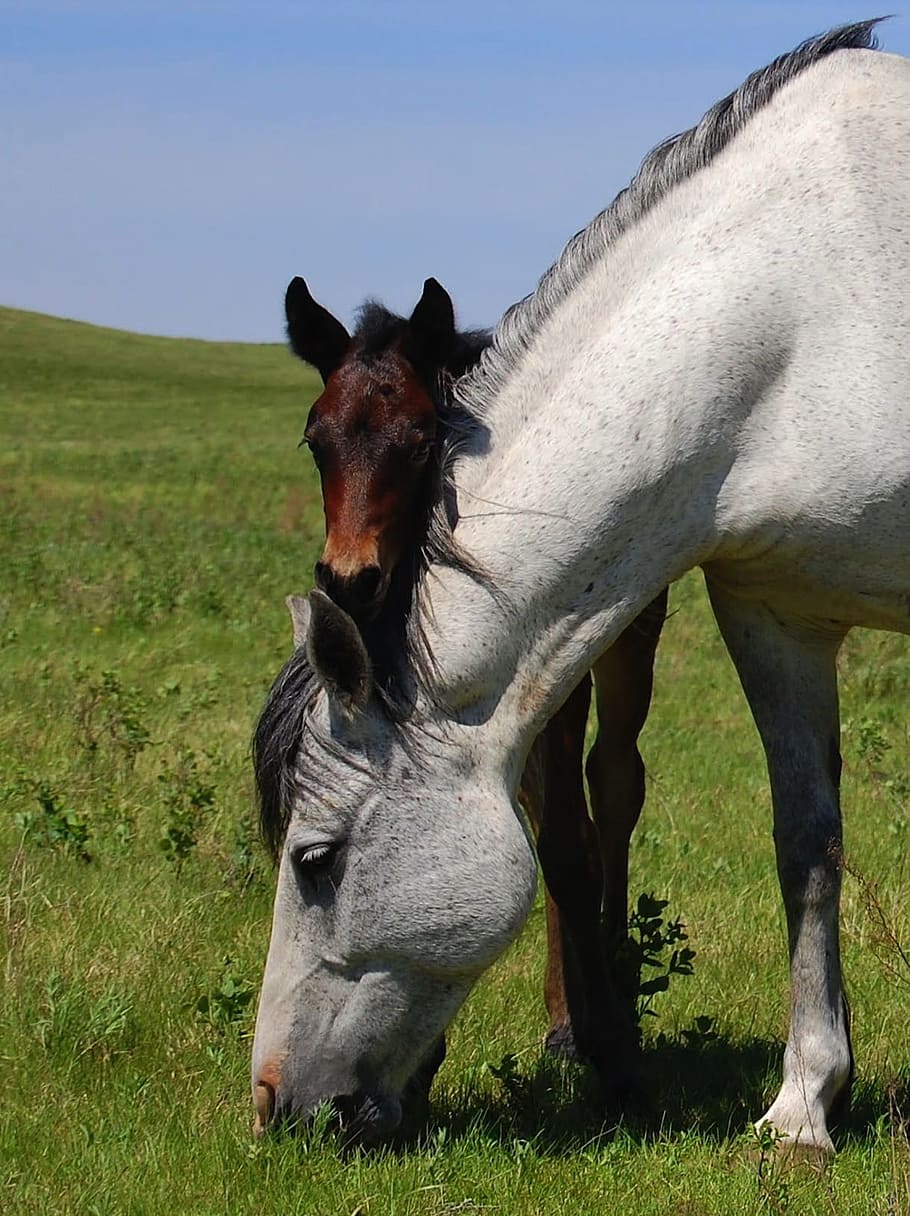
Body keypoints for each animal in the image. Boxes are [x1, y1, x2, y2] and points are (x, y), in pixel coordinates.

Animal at [279, 273, 667, 1084]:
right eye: (315, 440)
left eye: (421, 442)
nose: (349, 578)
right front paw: (425, 1058)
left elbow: (570, 845)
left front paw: (611, 1041)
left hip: (628, 647)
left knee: (614, 789)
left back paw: (615, 977)